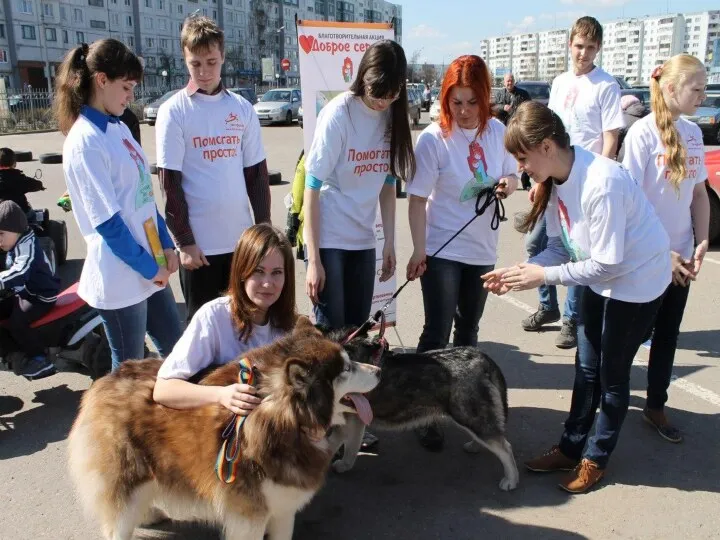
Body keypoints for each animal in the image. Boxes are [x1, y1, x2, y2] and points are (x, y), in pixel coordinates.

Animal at [67, 318, 380, 536]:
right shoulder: (249, 514)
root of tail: (105, 380)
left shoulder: (282, 507)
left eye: (350, 360)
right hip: (126, 478)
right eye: (347, 369)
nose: (378, 370)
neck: (286, 421)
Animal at [324, 326, 516, 492]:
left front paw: (341, 465)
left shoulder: (351, 420)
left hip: (468, 415)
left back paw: (511, 480)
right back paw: (475, 445)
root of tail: (480, 357)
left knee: (505, 447)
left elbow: (345, 446)